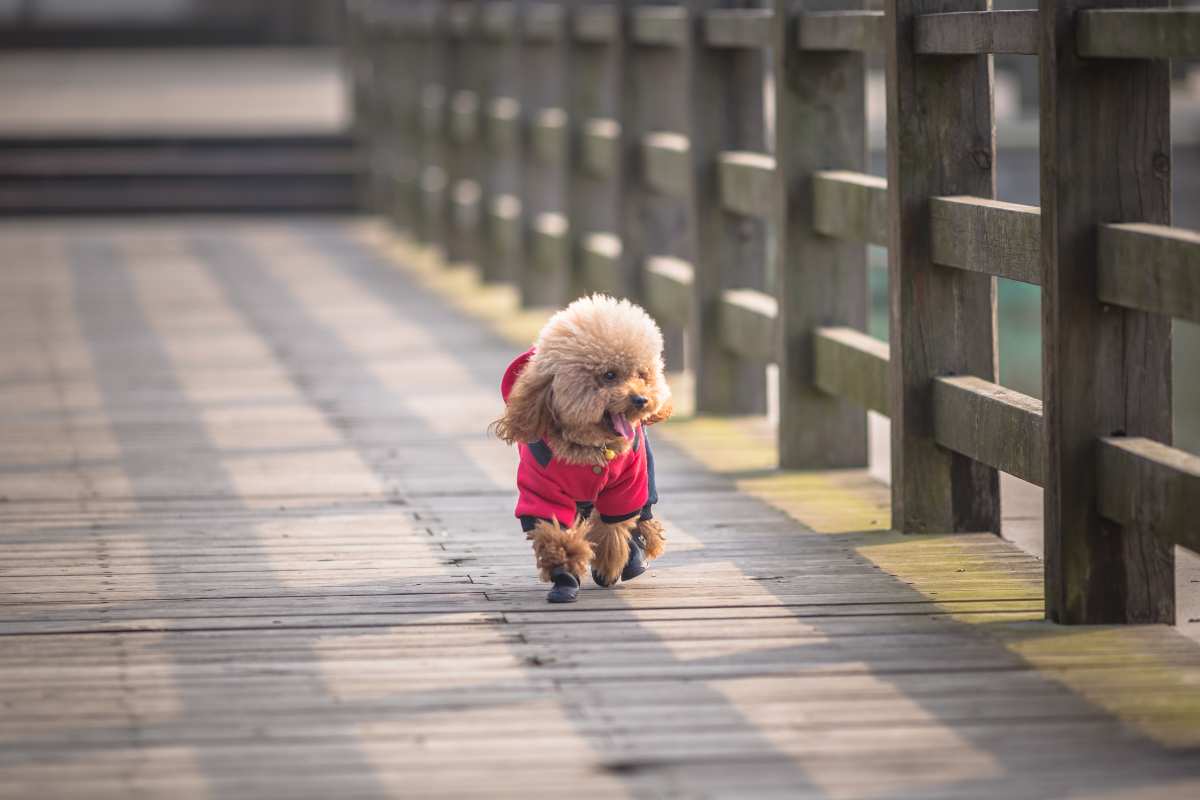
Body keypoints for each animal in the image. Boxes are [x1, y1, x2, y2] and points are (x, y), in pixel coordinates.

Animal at [489, 297, 676, 604]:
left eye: (641, 374)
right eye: (609, 375)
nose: (641, 399)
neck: (593, 449)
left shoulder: (626, 485)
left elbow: (614, 528)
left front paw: (610, 565)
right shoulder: (541, 489)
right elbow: (554, 529)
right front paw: (564, 567)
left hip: (645, 474)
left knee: (644, 514)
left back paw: (637, 555)